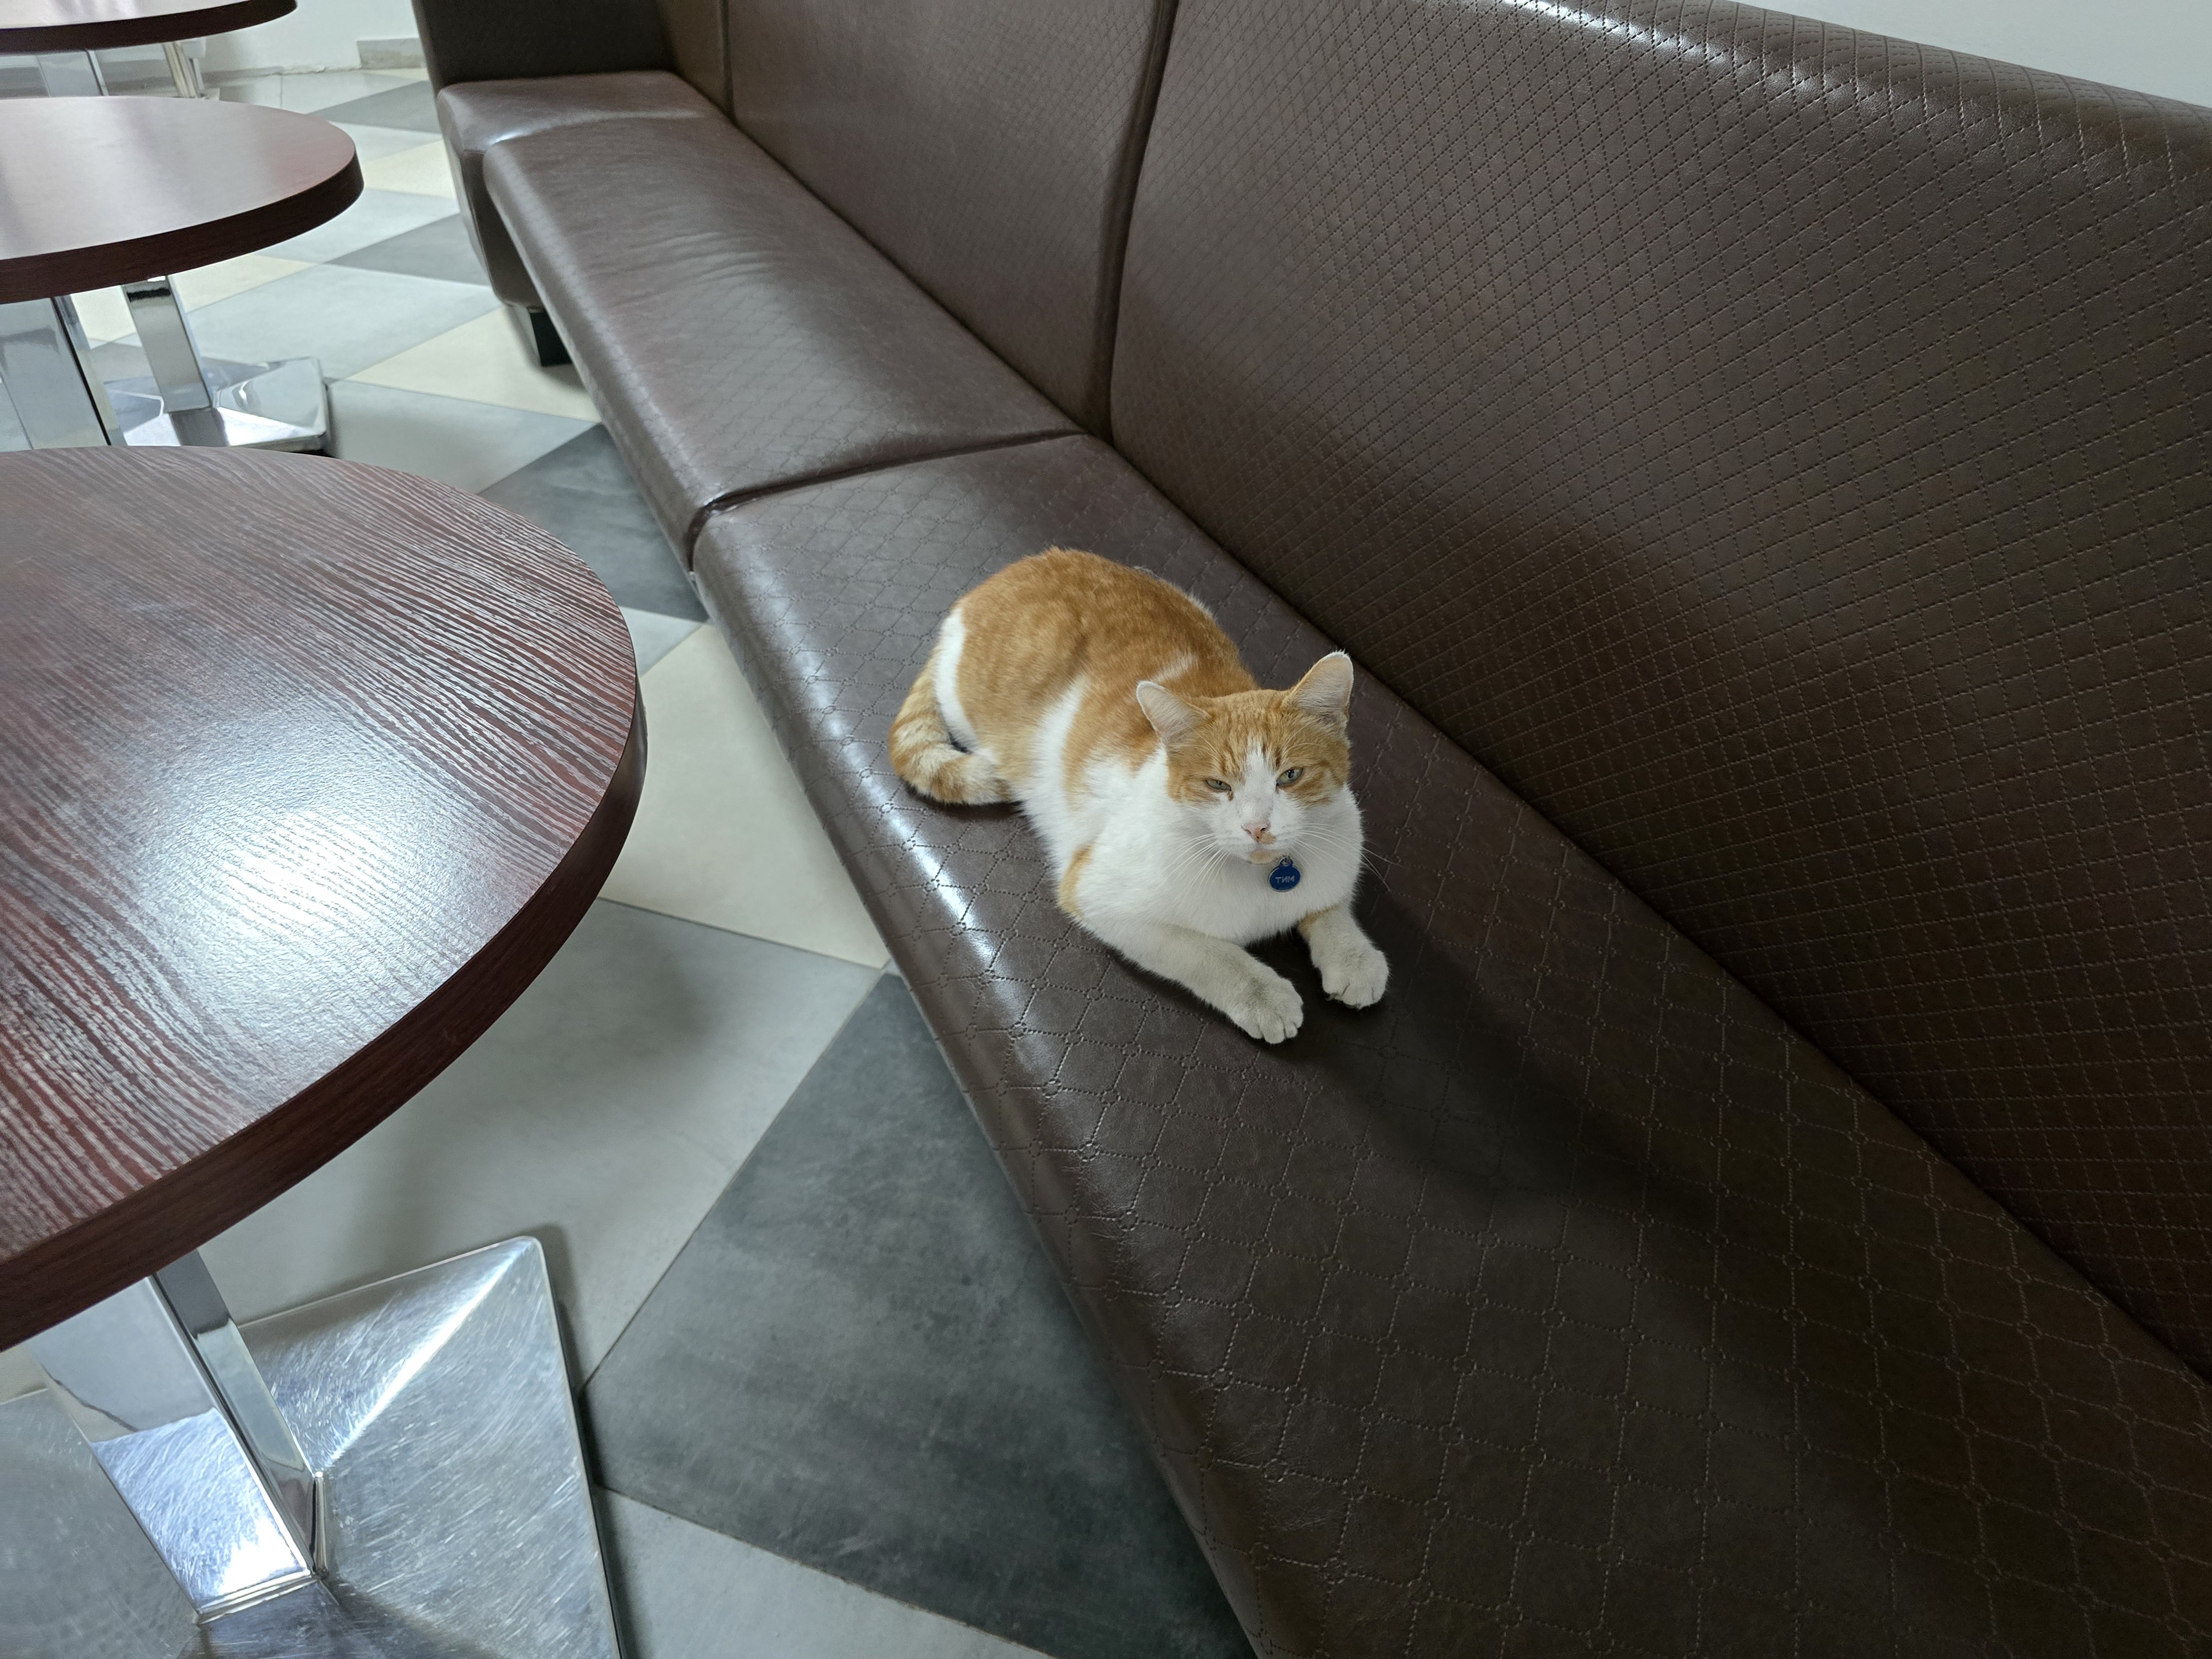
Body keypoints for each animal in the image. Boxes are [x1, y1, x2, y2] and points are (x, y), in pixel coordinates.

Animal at [889, 548, 1387, 1042]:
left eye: (1291, 776)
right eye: (1217, 785)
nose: (1257, 827)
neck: (1260, 881)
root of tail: (1008, 573)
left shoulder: (1335, 855)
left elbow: (1330, 907)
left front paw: (1353, 956)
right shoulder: (1100, 898)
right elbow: (1206, 952)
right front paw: (1262, 994)